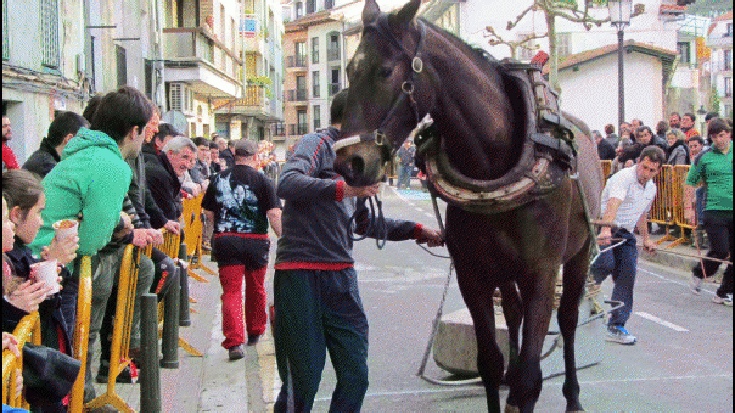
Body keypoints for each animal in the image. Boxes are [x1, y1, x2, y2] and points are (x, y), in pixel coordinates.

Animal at [338, 1, 604, 410]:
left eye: (385, 71)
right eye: (350, 70)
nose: (349, 163)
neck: (493, 163)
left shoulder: (542, 273)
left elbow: (531, 376)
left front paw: (530, 384)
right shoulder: (472, 274)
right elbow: (490, 363)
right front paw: (503, 378)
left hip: (579, 253)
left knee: (570, 319)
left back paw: (572, 396)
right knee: (512, 312)